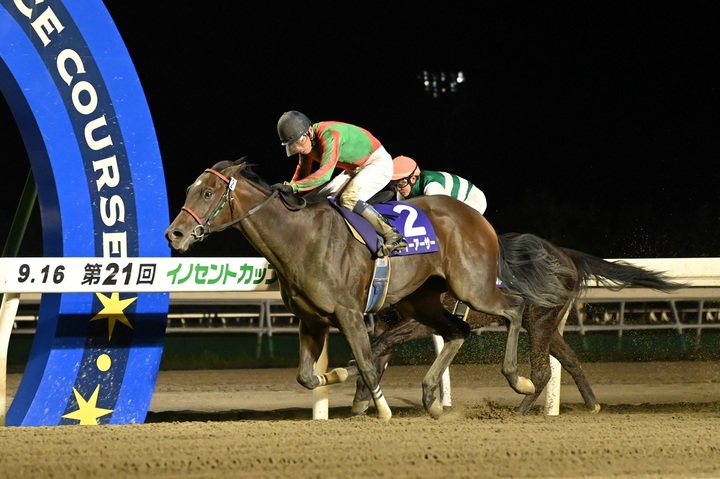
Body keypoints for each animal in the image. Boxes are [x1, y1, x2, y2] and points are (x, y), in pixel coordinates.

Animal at [164, 158, 572, 420]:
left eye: (208, 193)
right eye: (190, 189)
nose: (175, 234)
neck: (300, 237)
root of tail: (477, 220)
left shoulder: (348, 312)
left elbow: (368, 363)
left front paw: (382, 410)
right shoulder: (311, 319)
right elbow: (307, 376)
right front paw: (339, 376)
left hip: (473, 287)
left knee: (514, 309)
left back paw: (518, 380)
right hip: (422, 301)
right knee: (458, 330)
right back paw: (432, 397)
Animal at [352, 232, 685, 415]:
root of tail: (566, 255)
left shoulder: (425, 321)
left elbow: (378, 346)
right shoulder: (386, 322)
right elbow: (376, 352)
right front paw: (361, 402)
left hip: (539, 319)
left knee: (543, 371)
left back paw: (520, 410)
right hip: (544, 322)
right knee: (569, 359)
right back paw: (592, 404)